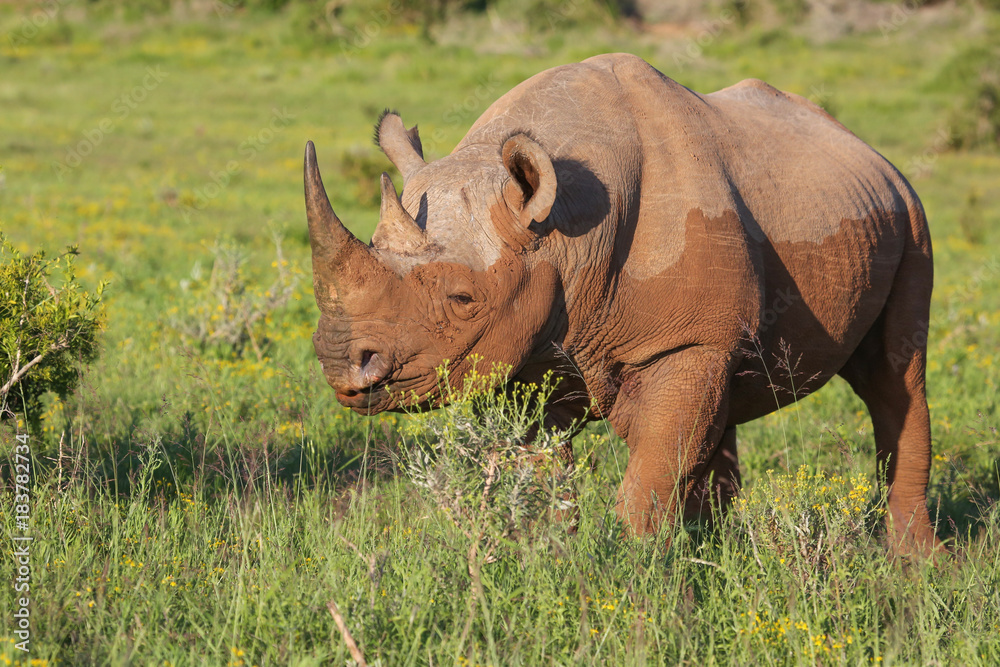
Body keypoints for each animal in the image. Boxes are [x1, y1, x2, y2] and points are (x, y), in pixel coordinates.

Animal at [305, 53, 940, 555]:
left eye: (463, 299)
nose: (338, 360)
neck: (563, 231)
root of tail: (867, 147)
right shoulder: (525, 349)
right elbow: (541, 467)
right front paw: (549, 556)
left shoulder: (685, 339)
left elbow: (654, 467)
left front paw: (633, 573)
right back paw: (714, 543)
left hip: (910, 215)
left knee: (895, 377)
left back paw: (914, 564)